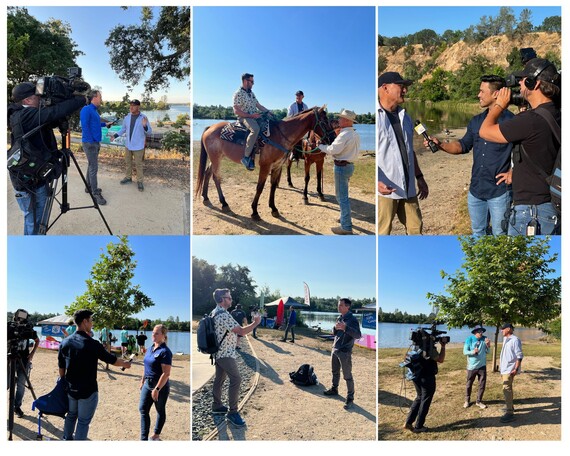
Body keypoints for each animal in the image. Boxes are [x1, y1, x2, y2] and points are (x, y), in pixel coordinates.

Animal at [194, 107, 332, 221]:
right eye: (325, 122)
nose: (332, 138)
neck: (280, 135)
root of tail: (210, 127)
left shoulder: (277, 166)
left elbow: (273, 186)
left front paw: (273, 208)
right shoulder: (265, 166)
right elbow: (260, 187)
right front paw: (255, 212)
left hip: (216, 158)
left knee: (207, 173)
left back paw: (205, 197)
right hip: (216, 158)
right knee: (216, 177)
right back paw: (224, 203)